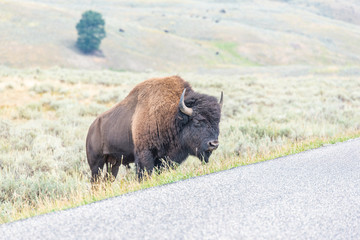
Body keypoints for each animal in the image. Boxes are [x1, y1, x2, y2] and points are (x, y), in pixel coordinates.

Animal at [86, 76, 222, 181]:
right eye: (197, 121)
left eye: (218, 121)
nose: (214, 144)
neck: (172, 115)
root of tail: (91, 128)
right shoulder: (145, 154)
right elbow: (145, 173)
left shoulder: (164, 159)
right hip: (96, 164)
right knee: (95, 181)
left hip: (113, 163)